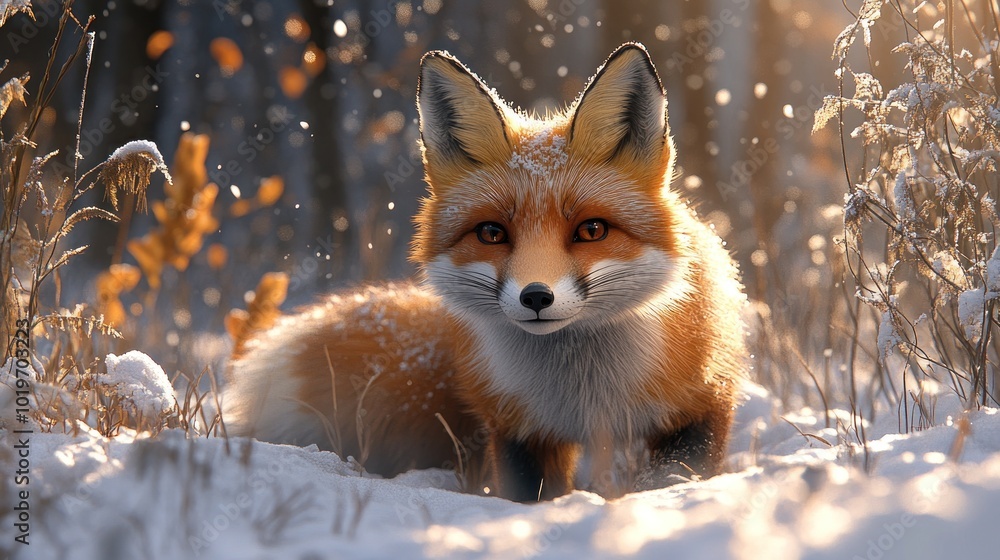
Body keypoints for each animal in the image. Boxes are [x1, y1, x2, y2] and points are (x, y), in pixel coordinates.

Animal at [221, 42, 746, 502]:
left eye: (592, 230)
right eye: (492, 233)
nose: (536, 297)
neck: (583, 394)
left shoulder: (701, 408)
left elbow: (675, 478)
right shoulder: (518, 431)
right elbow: (531, 498)